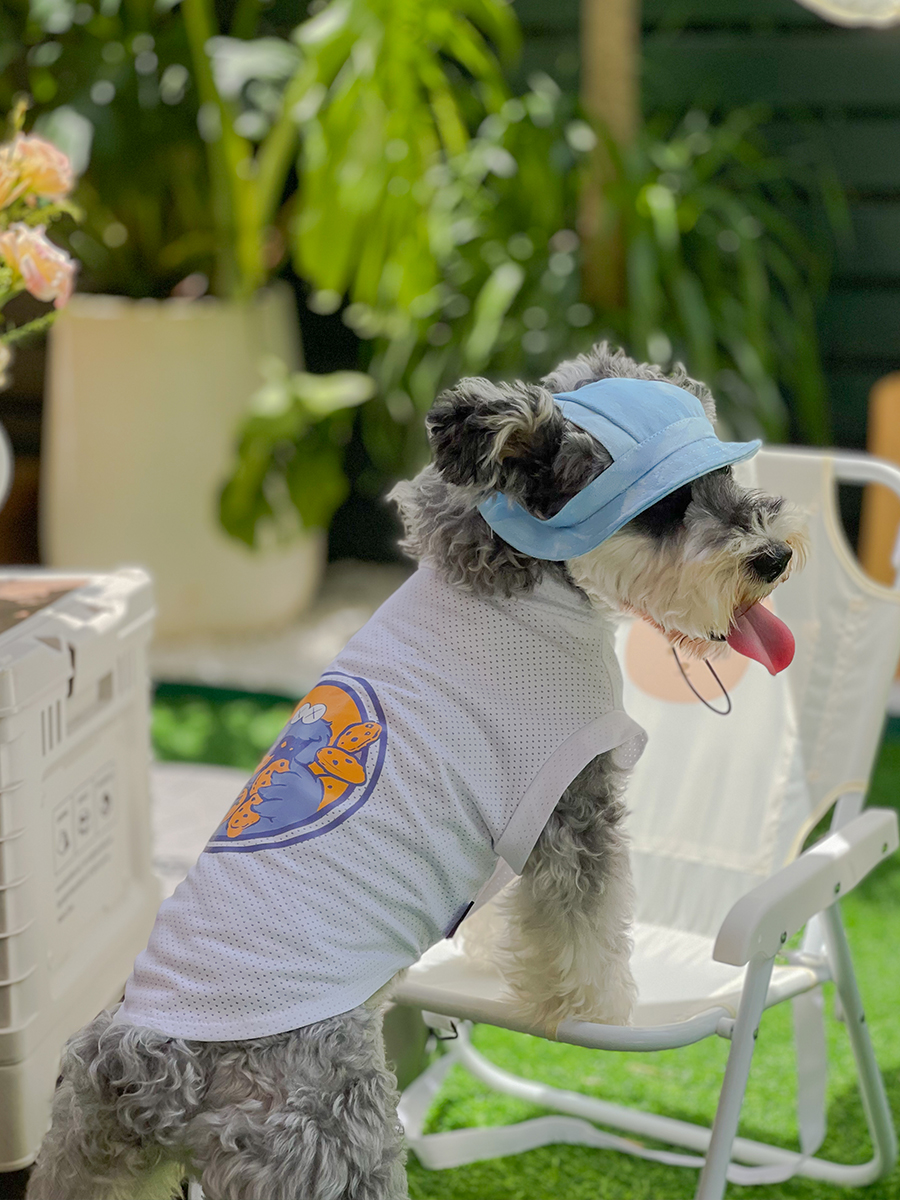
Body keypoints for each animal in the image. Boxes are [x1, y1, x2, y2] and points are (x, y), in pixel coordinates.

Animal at [24, 343, 806, 1195]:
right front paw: (600, 1008)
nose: (775, 557)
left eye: (725, 475)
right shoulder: (575, 801)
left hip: (87, 1157)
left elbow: (511, 910)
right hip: (343, 1146)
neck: (519, 577)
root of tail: (155, 1063)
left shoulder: (516, 830)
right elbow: (586, 922)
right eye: (664, 507)